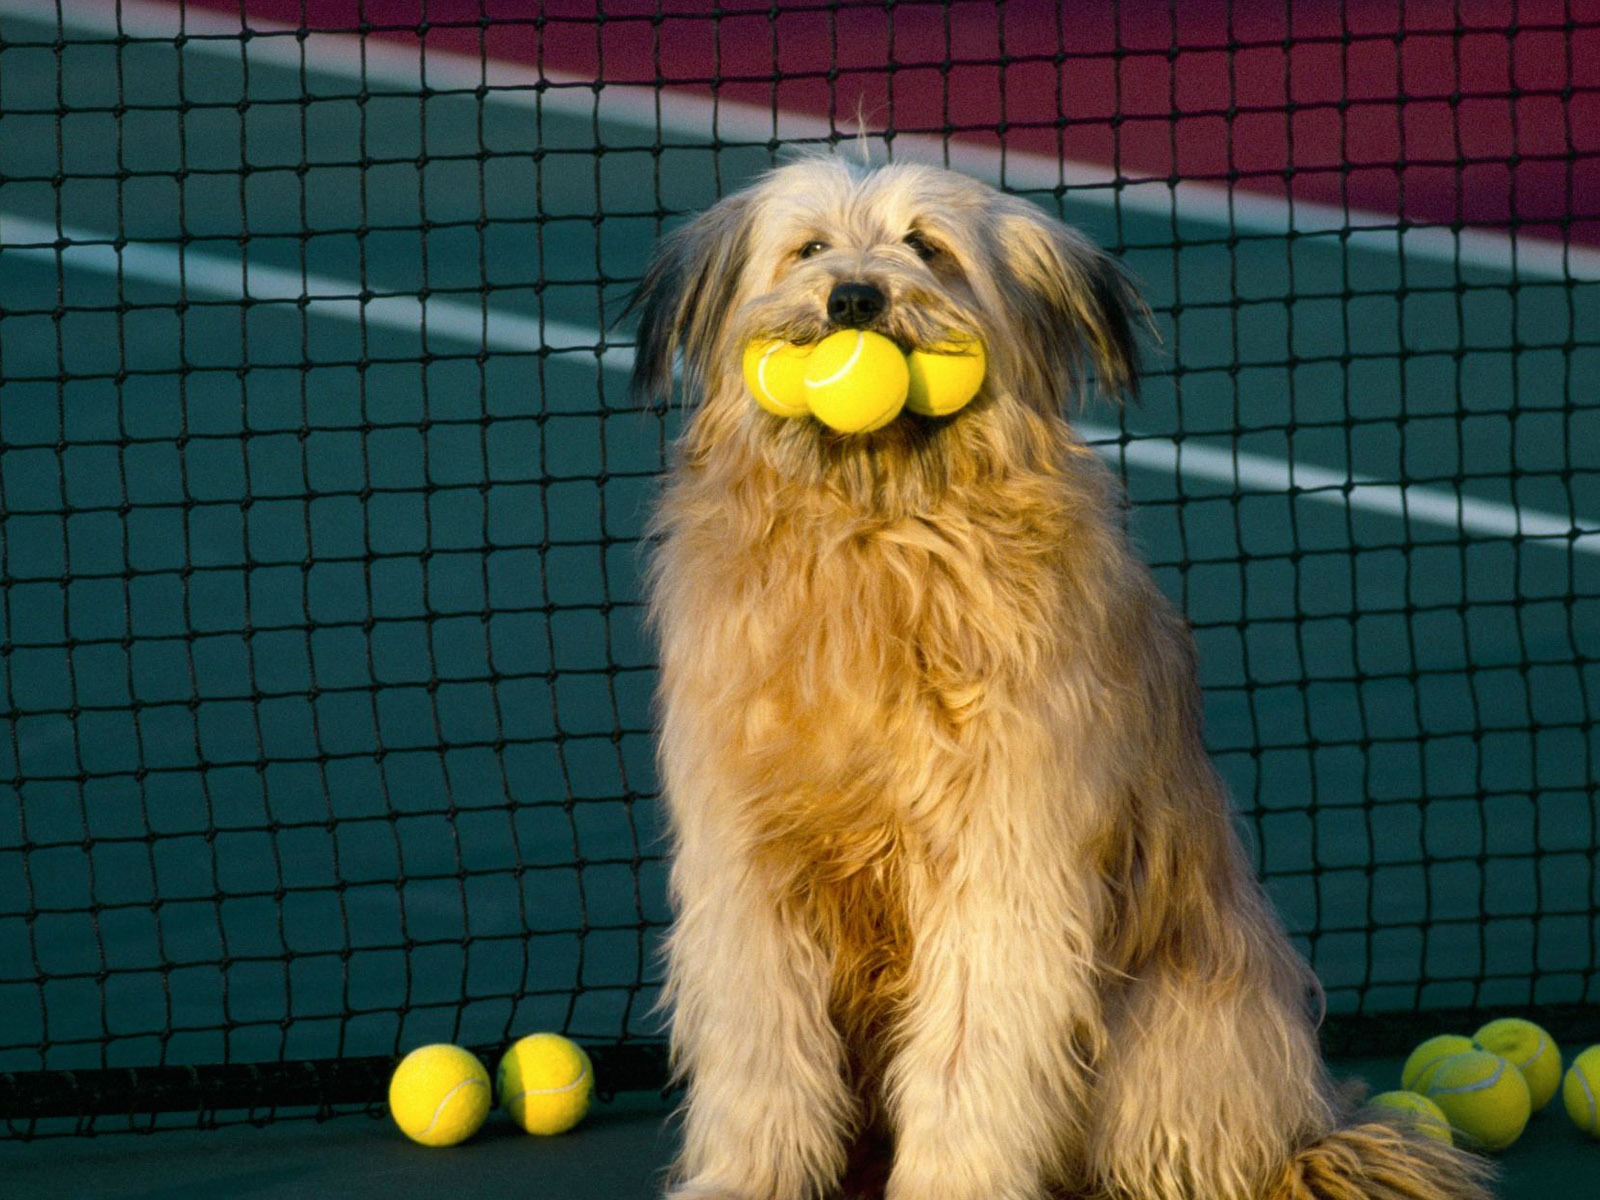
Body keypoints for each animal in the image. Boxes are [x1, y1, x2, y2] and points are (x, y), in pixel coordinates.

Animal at [627, 157, 1497, 1200]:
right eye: (808, 249)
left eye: (927, 247)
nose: (855, 298)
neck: (879, 531)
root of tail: (1309, 1129)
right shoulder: (748, 865)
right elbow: (762, 1046)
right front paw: (748, 1177)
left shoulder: (1004, 857)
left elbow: (973, 1046)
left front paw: (954, 1182)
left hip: (1177, 1028)